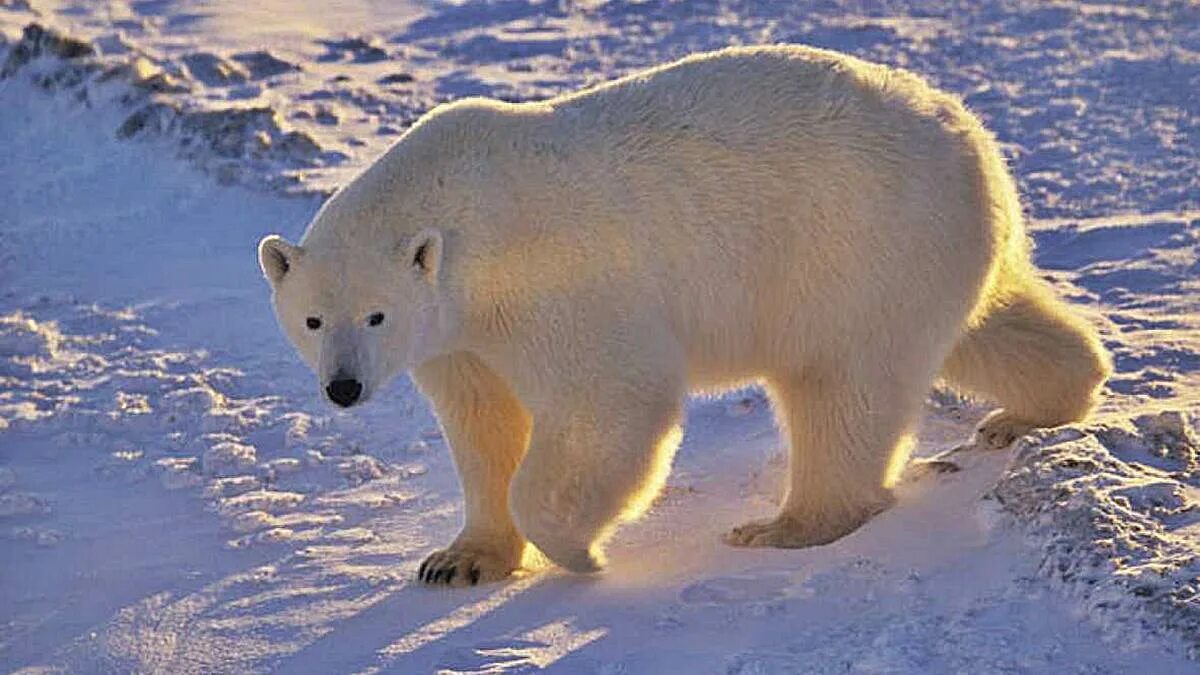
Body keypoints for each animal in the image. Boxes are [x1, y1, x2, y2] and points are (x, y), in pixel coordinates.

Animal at [258, 45, 1108, 583]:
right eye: (313, 320)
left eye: (375, 315)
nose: (343, 388)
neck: (464, 213)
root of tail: (973, 140)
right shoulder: (458, 339)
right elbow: (482, 425)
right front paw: (459, 559)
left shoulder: (555, 281)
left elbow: (610, 398)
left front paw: (579, 552)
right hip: (924, 253)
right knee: (984, 327)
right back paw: (1036, 405)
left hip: (855, 246)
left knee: (841, 388)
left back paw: (787, 523)